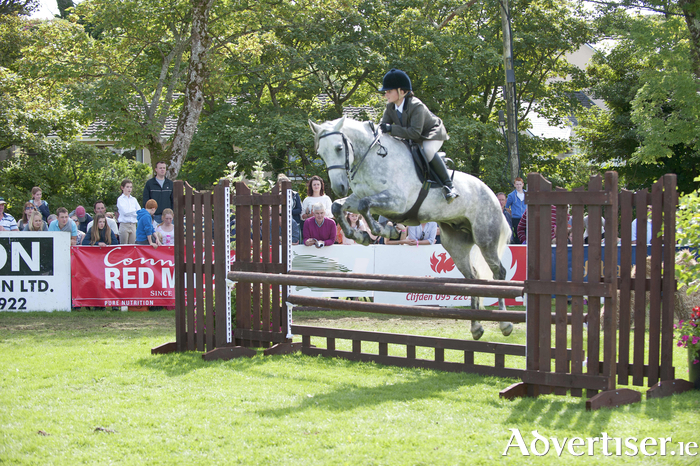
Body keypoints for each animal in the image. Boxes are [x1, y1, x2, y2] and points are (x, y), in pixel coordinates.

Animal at [308, 116, 512, 340]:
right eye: (320, 153)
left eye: (338, 148)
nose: (339, 188)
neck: (373, 158)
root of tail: (491, 194)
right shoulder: (362, 197)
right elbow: (339, 206)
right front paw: (360, 235)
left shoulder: (397, 202)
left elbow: (365, 206)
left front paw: (383, 231)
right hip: (455, 244)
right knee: (473, 278)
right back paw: (476, 327)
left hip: (485, 239)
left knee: (499, 272)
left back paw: (505, 324)